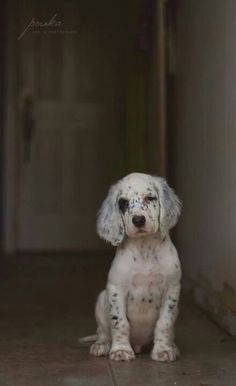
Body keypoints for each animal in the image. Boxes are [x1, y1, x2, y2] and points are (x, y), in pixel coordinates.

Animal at [82, 173, 182, 360]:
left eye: (150, 198)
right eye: (123, 202)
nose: (138, 220)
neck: (145, 249)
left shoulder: (172, 288)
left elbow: (164, 322)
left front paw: (163, 350)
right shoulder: (116, 289)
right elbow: (119, 322)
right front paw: (121, 350)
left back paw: (173, 346)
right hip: (101, 299)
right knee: (103, 332)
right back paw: (101, 345)